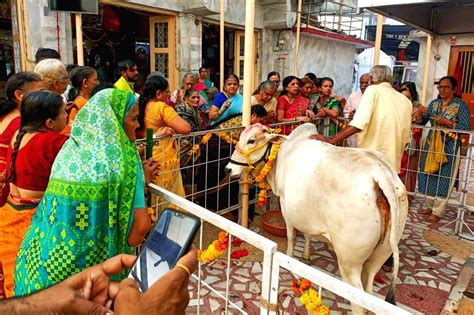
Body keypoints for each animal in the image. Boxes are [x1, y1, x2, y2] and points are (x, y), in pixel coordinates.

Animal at [225, 124, 408, 314]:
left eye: (251, 140)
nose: (228, 169)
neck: (283, 152)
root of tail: (381, 174)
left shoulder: (286, 206)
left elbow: (291, 236)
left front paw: (290, 260)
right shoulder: (305, 213)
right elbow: (307, 234)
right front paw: (306, 255)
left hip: (349, 262)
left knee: (358, 303)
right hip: (381, 254)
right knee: (370, 290)